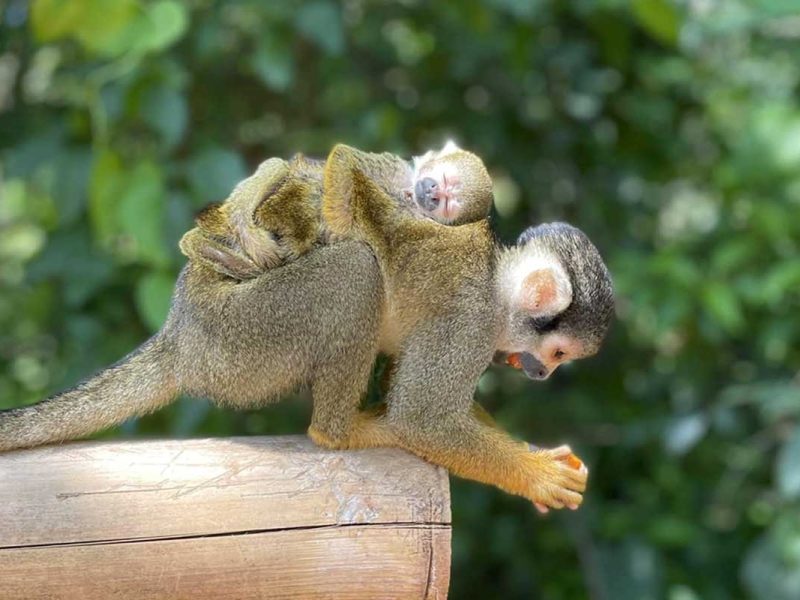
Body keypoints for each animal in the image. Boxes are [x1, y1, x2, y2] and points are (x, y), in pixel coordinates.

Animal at [0, 156, 613, 514]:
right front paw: (536, 475)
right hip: (244, 337)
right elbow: (422, 417)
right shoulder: (469, 321)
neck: (495, 282)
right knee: (356, 272)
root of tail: (181, 333)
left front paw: (531, 451)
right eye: (558, 352)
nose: (540, 372)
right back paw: (341, 431)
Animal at [178, 141, 494, 280]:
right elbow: (344, 156)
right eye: (442, 181)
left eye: (446, 203)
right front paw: (338, 223)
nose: (430, 193)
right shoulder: (393, 167)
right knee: (280, 166)